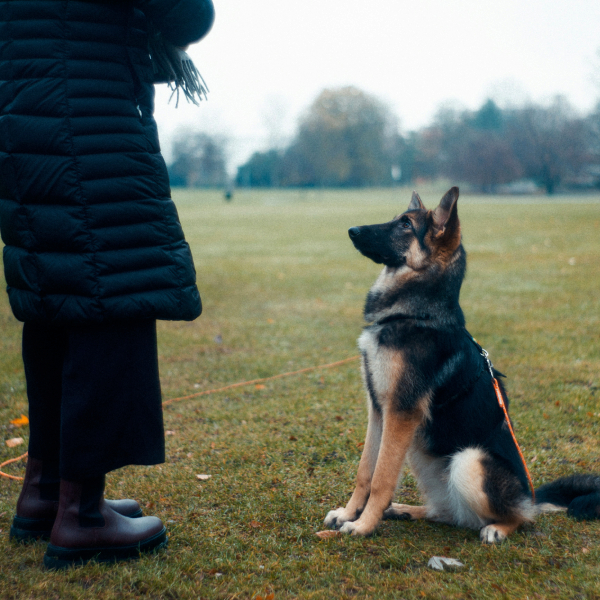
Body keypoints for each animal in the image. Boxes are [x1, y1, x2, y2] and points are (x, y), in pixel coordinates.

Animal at [326, 189, 596, 544]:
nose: (352, 230)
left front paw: (363, 525)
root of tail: (530, 497)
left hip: (468, 460)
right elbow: (365, 472)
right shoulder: (379, 410)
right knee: (448, 513)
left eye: (405, 224)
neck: (415, 312)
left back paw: (498, 528)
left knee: (520, 518)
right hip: (421, 452)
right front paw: (348, 514)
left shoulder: (401, 413)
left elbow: (382, 478)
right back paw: (406, 510)